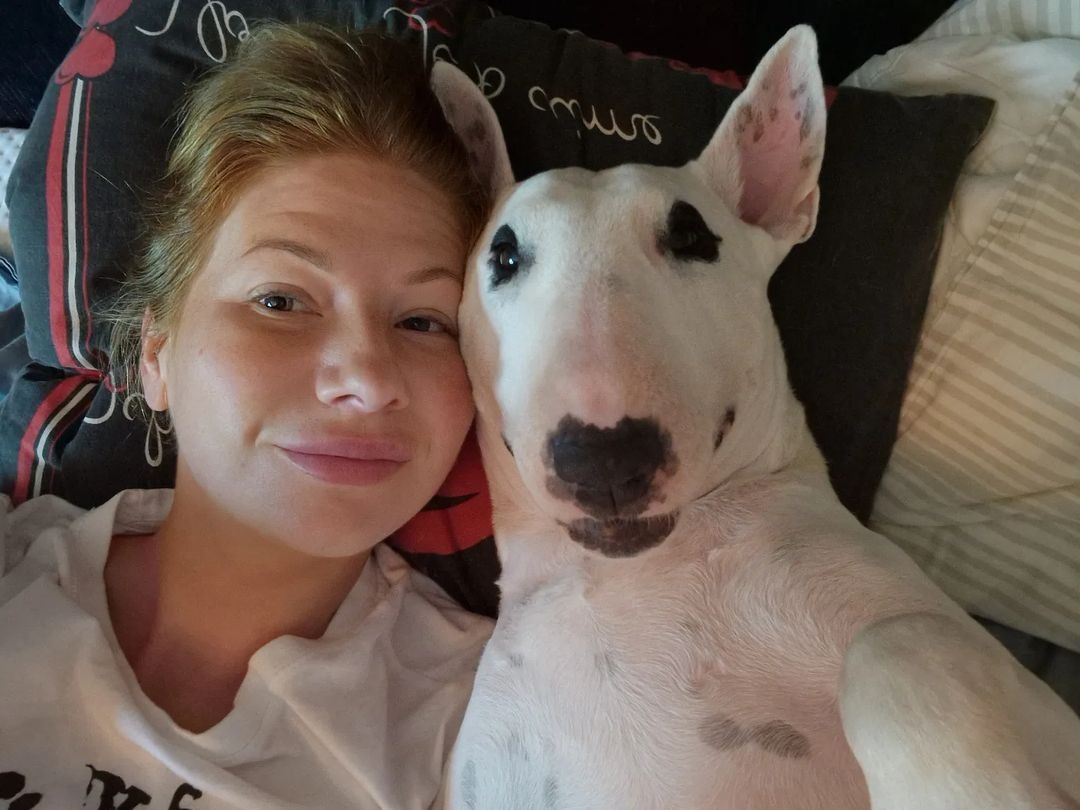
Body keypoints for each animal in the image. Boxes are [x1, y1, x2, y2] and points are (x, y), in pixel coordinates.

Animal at [427, 27, 1080, 810]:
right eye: (502, 254)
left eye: (692, 238)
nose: (604, 460)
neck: (627, 576)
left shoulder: (1019, 693)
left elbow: (892, 650)